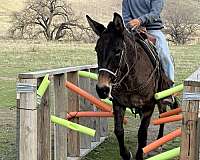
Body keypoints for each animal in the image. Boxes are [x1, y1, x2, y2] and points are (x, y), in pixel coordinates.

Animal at [86, 12, 177, 160]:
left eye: (118, 51)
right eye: (96, 50)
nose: (102, 89)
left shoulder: (148, 106)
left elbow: (142, 133)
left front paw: (140, 154)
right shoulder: (118, 104)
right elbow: (119, 130)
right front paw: (126, 154)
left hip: (161, 100)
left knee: (163, 114)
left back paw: (159, 142)